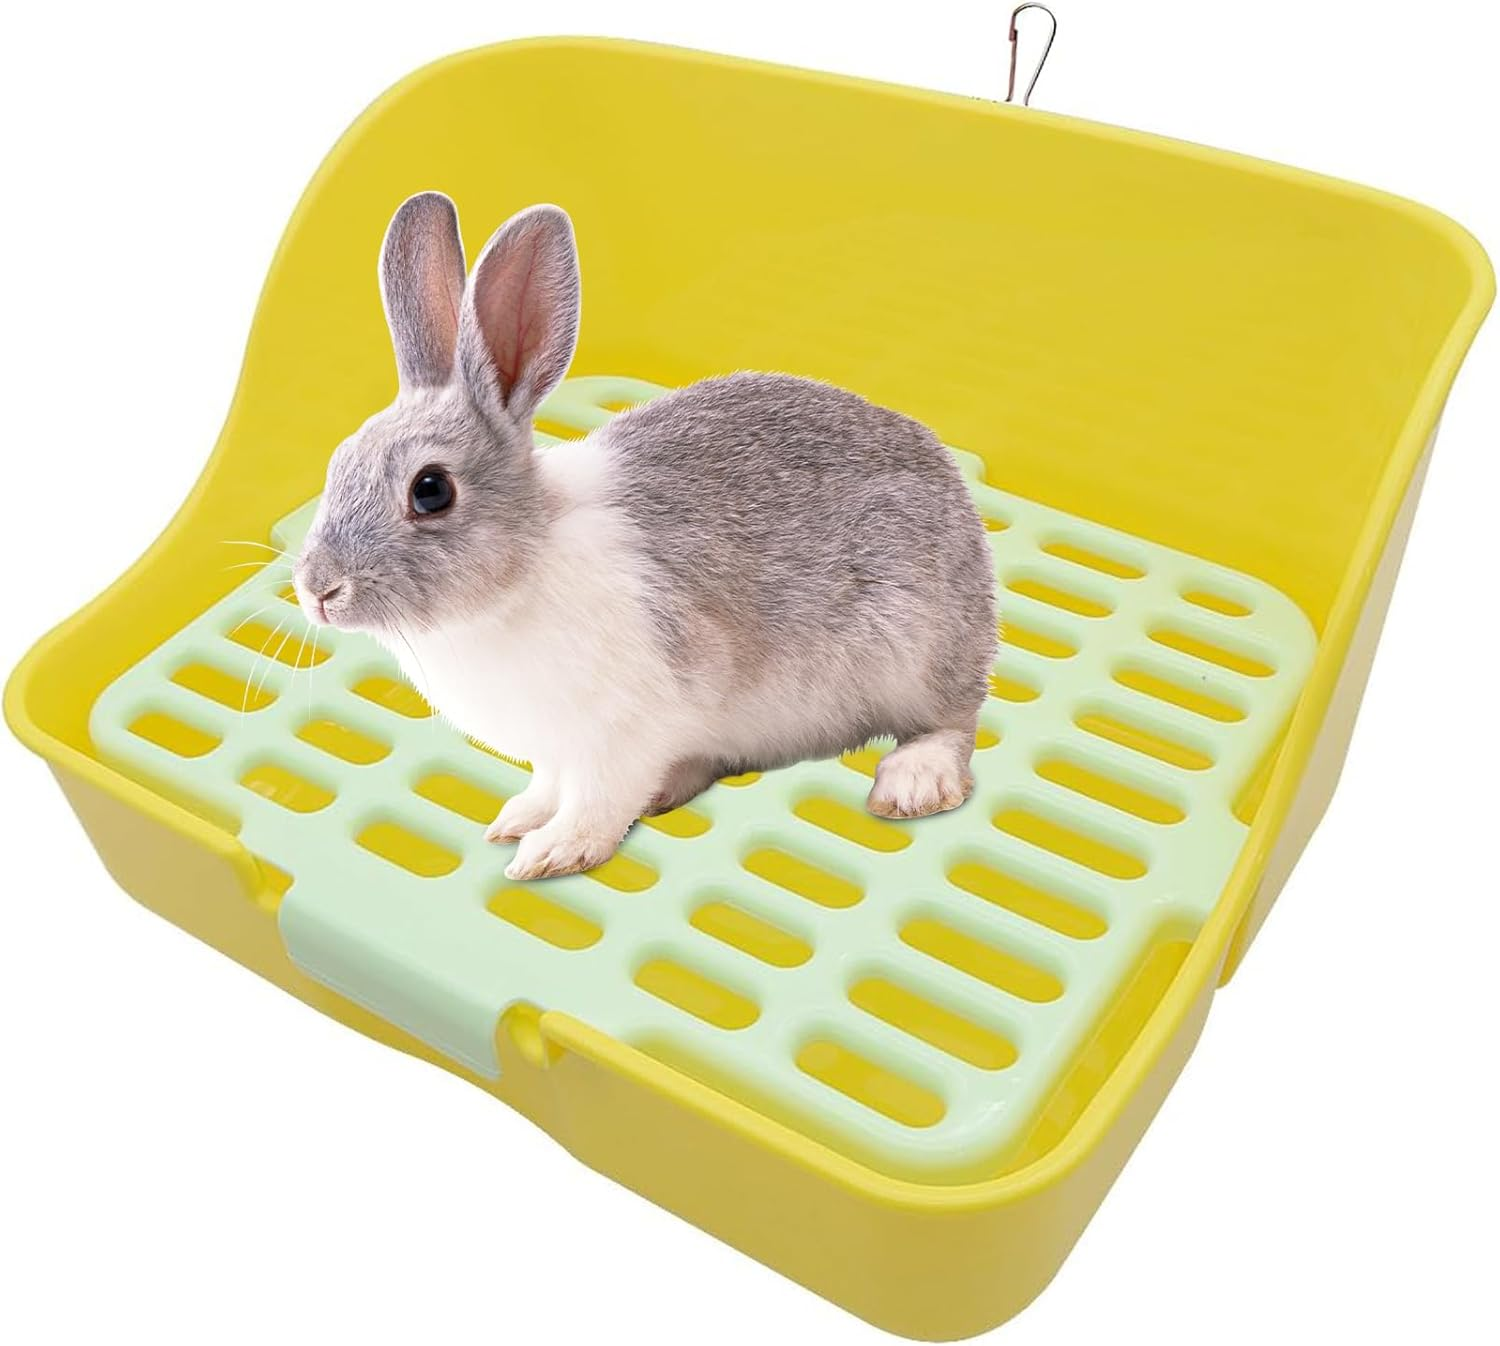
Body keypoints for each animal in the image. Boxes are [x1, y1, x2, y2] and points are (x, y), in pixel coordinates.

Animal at [293, 191, 998, 881]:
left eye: (431, 490)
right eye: (338, 461)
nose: (318, 590)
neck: (520, 572)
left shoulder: (623, 732)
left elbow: (597, 801)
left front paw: (553, 853)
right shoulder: (558, 749)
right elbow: (550, 785)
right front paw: (516, 818)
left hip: (917, 655)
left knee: (955, 723)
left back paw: (912, 784)